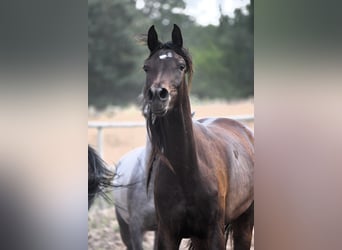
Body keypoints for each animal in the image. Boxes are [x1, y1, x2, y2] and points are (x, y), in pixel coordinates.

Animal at [141, 23, 254, 250]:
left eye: (181, 66)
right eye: (146, 67)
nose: (158, 95)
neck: (187, 170)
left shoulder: (214, 233)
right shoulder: (167, 233)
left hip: (245, 223)